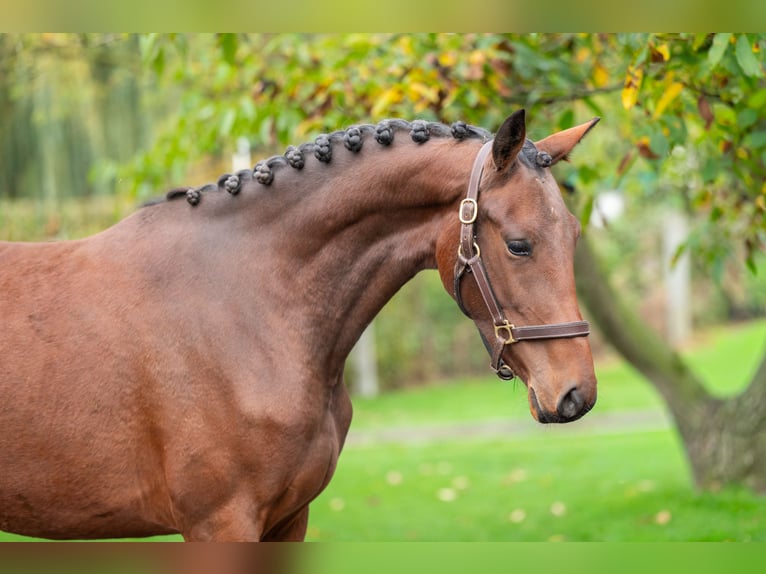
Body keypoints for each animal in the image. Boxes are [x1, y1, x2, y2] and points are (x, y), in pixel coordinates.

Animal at [0, 109, 598, 541]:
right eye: (518, 245)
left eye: (573, 234)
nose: (578, 395)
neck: (248, 303)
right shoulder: (220, 524)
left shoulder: (289, 519)